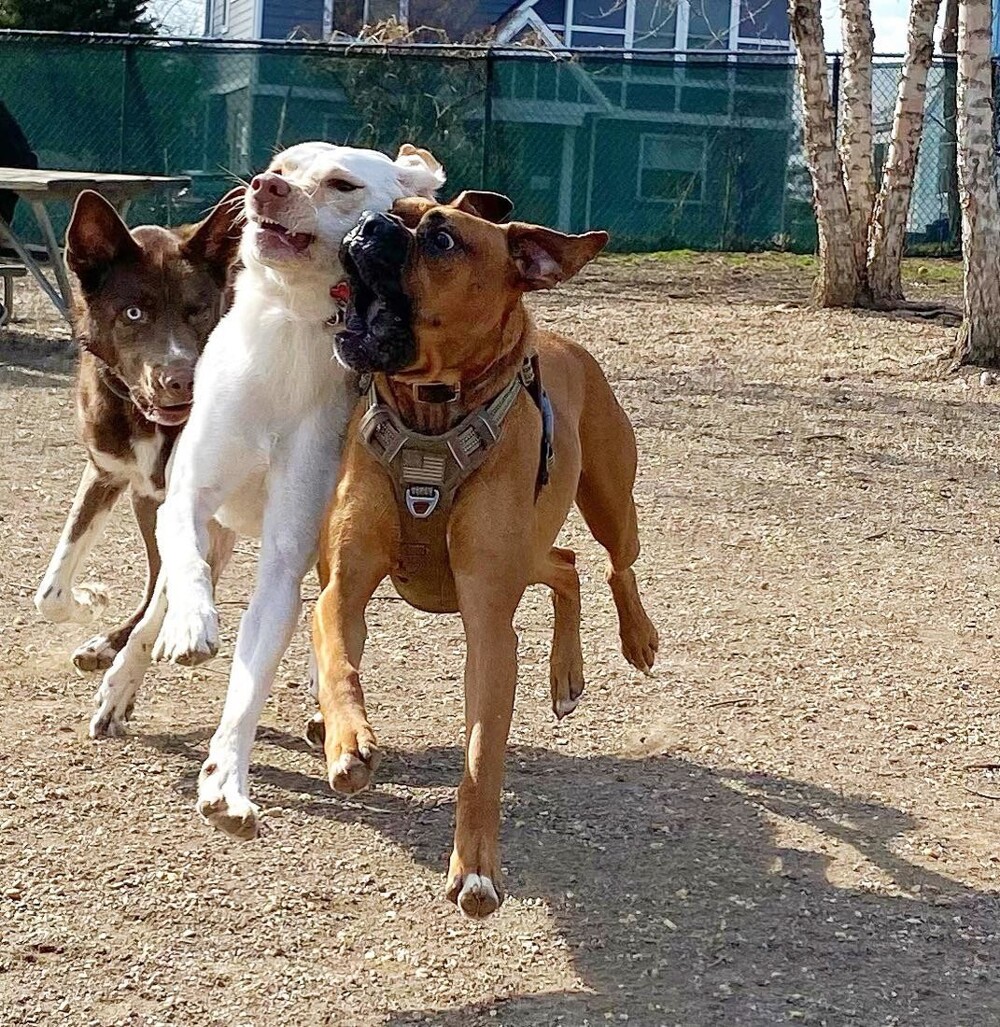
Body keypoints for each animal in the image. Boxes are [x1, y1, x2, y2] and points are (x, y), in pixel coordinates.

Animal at [92, 140, 445, 838]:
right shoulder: (187, 501)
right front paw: (192, 628)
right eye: (282, 167)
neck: (289, 327)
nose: (263, 187)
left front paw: (225, 782)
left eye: (341, 184)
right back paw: (128, 677)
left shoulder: (286, 557)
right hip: (214, 531)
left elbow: (250, 681)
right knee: (159, 603)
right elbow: (185, 574)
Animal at [312, 196, 657, 920]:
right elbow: (339, 664)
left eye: (442, 239)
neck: (432, 416)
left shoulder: (490, 629)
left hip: (610, 502)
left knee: (617, 562)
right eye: (393, 210)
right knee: (566, 563)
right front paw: (348, 741)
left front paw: (474, 869)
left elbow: (480, 759)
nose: (372, 224)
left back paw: (634, 639)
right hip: (529, 550)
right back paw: (565, 675)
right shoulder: (343, 591)